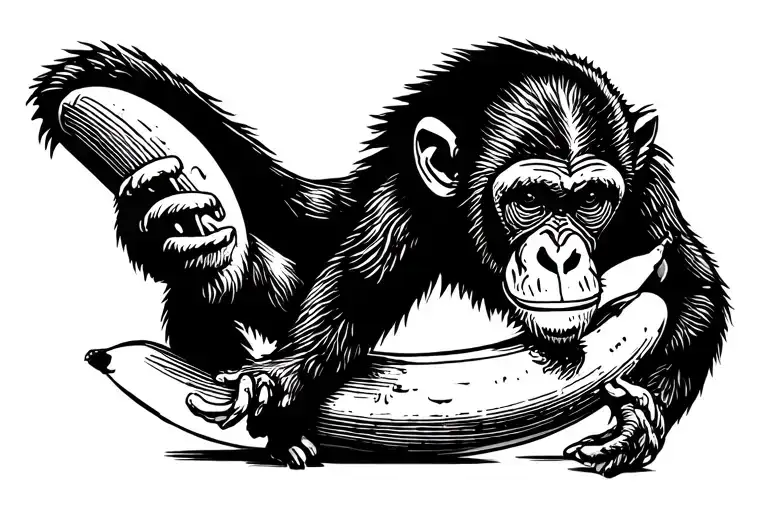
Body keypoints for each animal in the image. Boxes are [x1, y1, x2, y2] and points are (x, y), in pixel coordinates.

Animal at [30, 40, 730, 476]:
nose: (559, 253)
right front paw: (275, 377)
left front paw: (636, 423)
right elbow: (348, 297)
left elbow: (688, 285)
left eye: (590, 199)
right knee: (214, 286)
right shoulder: (401, 207)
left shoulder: (646, 195)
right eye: (530, 198)